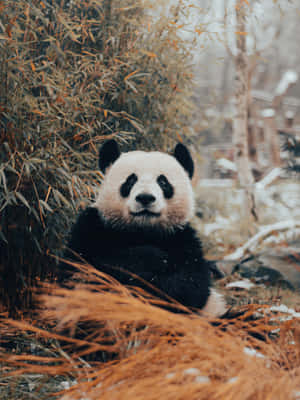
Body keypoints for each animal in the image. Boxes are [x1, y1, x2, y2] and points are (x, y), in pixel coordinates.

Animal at [60, 139, 225, 318]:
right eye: (131, 180)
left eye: (163, 182)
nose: (145, 197)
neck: (143, 231)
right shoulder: (93, 226)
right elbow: (83, 269)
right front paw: (150, 258)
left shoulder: (181, 238)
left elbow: (190, 286)